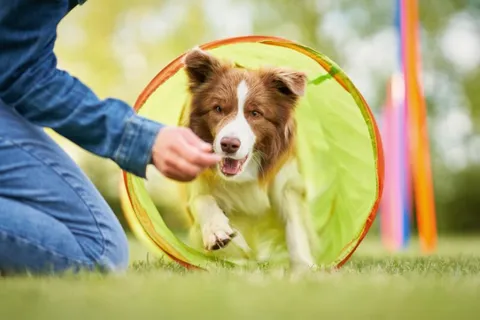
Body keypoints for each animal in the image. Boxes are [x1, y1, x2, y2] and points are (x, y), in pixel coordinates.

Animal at [180, 47, 318, 272]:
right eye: (218, 108)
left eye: (255, 113)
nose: (229, 145)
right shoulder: (201, 186)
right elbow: (203, 200)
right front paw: (218, 232)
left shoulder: (286, 184)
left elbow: (295, 226)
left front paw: (303, 267)